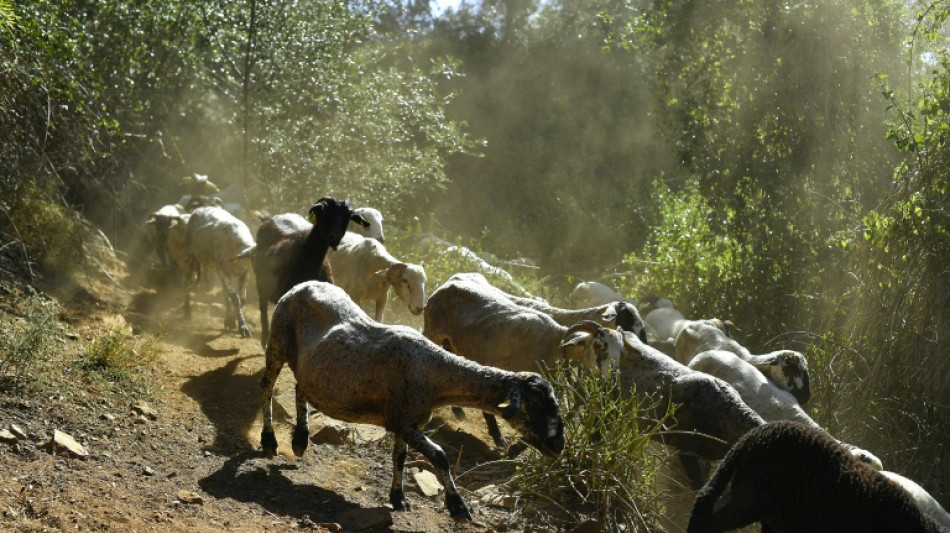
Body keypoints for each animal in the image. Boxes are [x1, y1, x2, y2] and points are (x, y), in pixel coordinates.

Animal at [183, 205, 255, 337]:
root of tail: (200, 208)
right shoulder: (224, 272)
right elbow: (235, 298)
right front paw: (243, 327)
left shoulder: (245, 273)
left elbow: (241, 300)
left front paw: (232, 320)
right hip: (188, 256)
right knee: (187, 281)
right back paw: (187, 310)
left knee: (225, 293)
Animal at [246, 197, 369, 347]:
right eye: (325, 212)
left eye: (348, 217)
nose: (335, 237)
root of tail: (269, 219)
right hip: (261, 284)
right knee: (263, 311)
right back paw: (264, 340)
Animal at [259, 281, 565, 522]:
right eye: (536, 404)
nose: (558, 446)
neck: (434, 373)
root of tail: (302, 285)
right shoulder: (403, 421)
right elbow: (439, 455)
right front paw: (458, 507)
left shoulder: (405, 422)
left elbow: (401, 457)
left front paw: (399, 499)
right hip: (277, 341)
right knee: (267, 388)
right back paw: (269, 440)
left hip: (312, 368)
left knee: (300, 388)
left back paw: (300, 440)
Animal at [423, 274, 622, 448]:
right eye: (598, 346)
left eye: (620, 351)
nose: (611, 379)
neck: (552, 342)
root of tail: (445, 286)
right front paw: (501, 440)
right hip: (432, 333)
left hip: (452, 345)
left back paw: (458, 412)